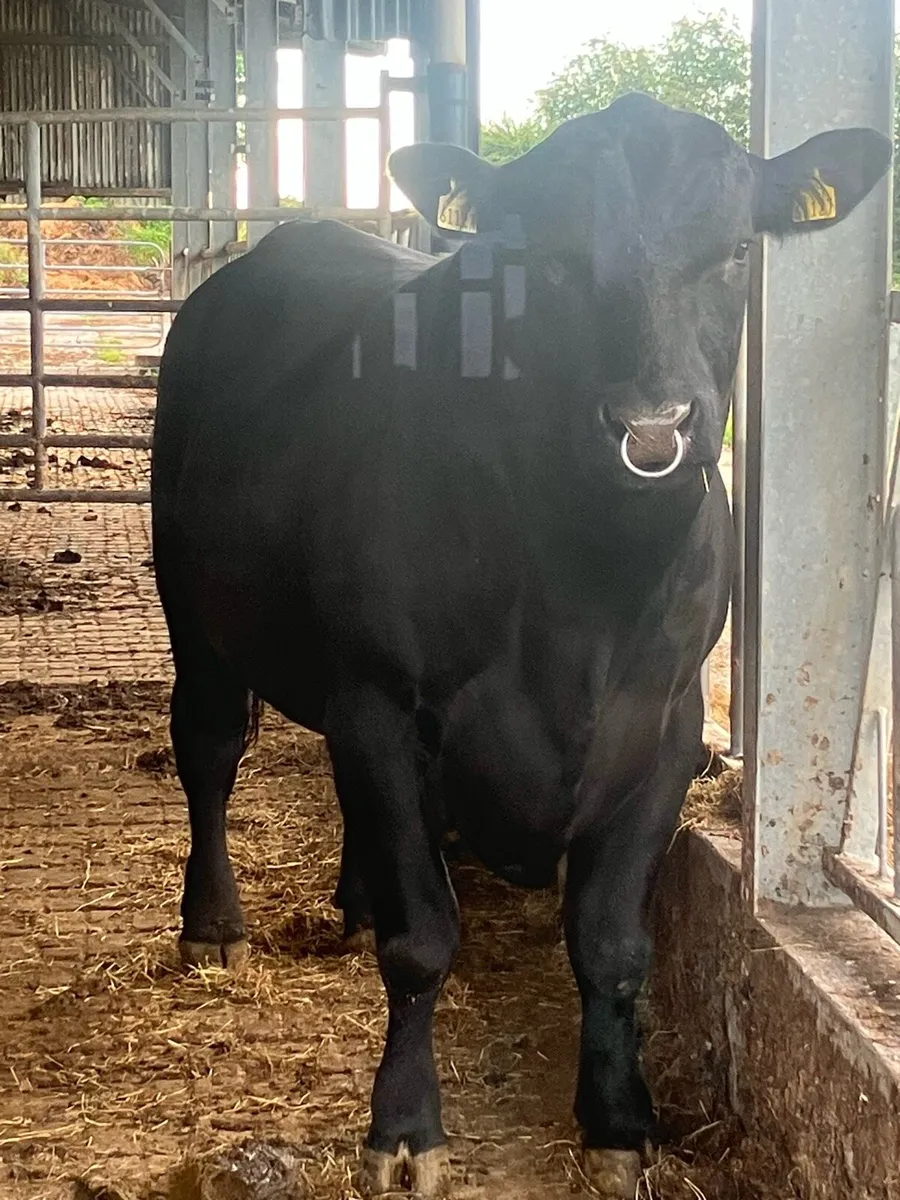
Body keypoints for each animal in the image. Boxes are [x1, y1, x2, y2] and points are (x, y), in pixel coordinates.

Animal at [150, 93, 890, 1198]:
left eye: (732, 251)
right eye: (549, 258)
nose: (653, 426)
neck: (586, 593)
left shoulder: (669, 724)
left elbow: (613, 941)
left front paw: (620, 1121)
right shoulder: (383, 702)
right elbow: (423, 939)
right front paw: (405, 1126)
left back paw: (353, 896)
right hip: (191, 608)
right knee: (207, 750)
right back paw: (213, 926)